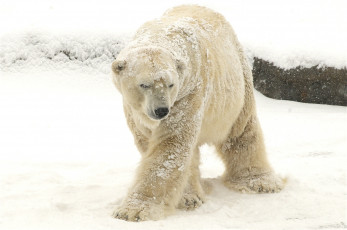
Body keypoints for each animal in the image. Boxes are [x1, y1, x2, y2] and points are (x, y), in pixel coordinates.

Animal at [111, 4, 286, 221]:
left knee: (242, 132)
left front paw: (132, 211)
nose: (161, 110)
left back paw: (260, 181)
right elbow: (155, 143)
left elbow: (170, 146)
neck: (161, 34)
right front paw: (187, 198)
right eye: (144, 84)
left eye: (170, 84)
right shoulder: (136, 111)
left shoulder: (188, 93)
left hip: (238, 82)